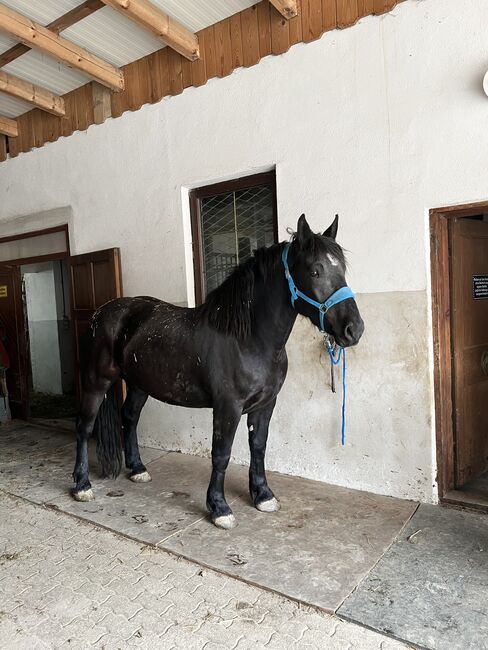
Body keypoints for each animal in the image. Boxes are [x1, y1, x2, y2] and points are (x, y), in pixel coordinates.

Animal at [72, 213, 362, 528]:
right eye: (315, 271)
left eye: (342, 269)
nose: (354, 329)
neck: (248, 339)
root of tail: (102, 313)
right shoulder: (228, 407)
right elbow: (221, 454)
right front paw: (219, 507)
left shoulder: (266, 404)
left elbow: (258, 446)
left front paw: (263, 495)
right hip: (96, 381)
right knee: (84, 426)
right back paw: (82, 485)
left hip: (139, 384)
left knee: (129, 417)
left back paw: (138, 469)